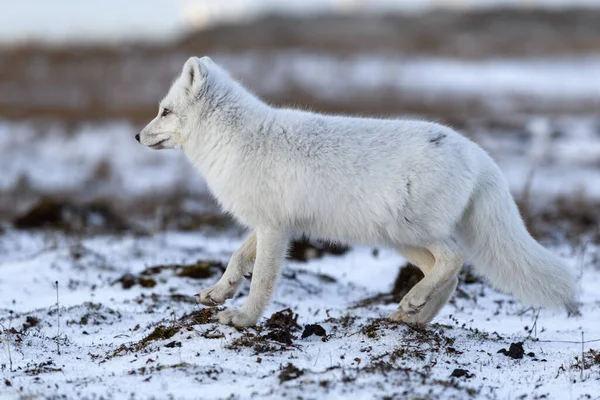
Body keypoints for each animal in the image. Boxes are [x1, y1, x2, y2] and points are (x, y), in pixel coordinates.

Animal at [136, 56, 576, 326]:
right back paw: (412, 316)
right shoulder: (268, 224)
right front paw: (217, 293)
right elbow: (236, 259)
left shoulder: (276, 228)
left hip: (411, 231)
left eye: (164, 111)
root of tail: (477, 152)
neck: (236, 139)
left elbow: (260, 280)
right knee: (448, 275)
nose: (137, 137)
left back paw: (412, 304)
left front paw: (243, 319)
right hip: (403, 240)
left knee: (454, 259)